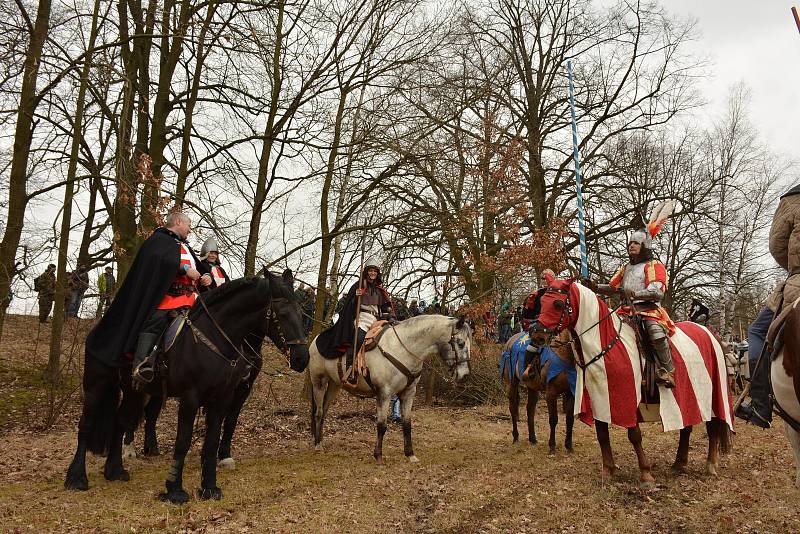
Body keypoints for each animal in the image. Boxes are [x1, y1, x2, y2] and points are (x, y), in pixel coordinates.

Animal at [64, 272, 308, 502]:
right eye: (282, 314)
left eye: (302, 313)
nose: (301, 358)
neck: (215, 338)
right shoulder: (190, 398)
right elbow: (183, 441)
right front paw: (175, 490)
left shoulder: (223, 398)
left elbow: (212, 440)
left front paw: (210, 487)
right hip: (96, 384)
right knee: (86, 425)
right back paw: (76, 478)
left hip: (134, 390)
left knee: (121, 421)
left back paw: (114, 471)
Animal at [532, 280, 732, 490]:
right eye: (542, 303)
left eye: (557, 304)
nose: (537, 336)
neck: (605, 342)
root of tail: (711, 334)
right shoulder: (599, 400)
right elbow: (602, 435)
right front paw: (608, 471)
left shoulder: (630, 400)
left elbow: (634, 435)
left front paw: (646, 474)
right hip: (688, 398)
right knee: (686, 427)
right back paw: (679, 464)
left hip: (712, 394)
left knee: (713, 427)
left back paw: (710, 465)